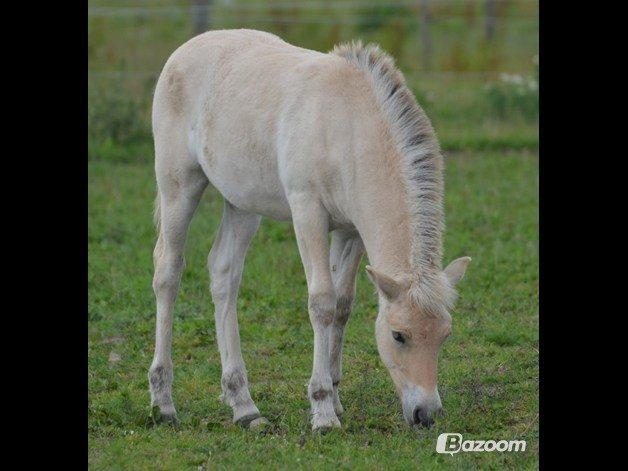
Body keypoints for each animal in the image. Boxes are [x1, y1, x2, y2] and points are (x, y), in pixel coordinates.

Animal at [150, 29, 468, 434]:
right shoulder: (308, 213)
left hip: (242, 203)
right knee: (168, 273)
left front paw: (334, 395)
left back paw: (244, 406)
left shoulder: (350, 231)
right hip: (179, 186)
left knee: (224, 275)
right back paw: (163, 403)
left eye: (445, 334)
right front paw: (322, 411)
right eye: (399, 335)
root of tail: (185, 50)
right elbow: (322, 303)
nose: (425, 414)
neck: (347, 127)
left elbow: (343, 304)